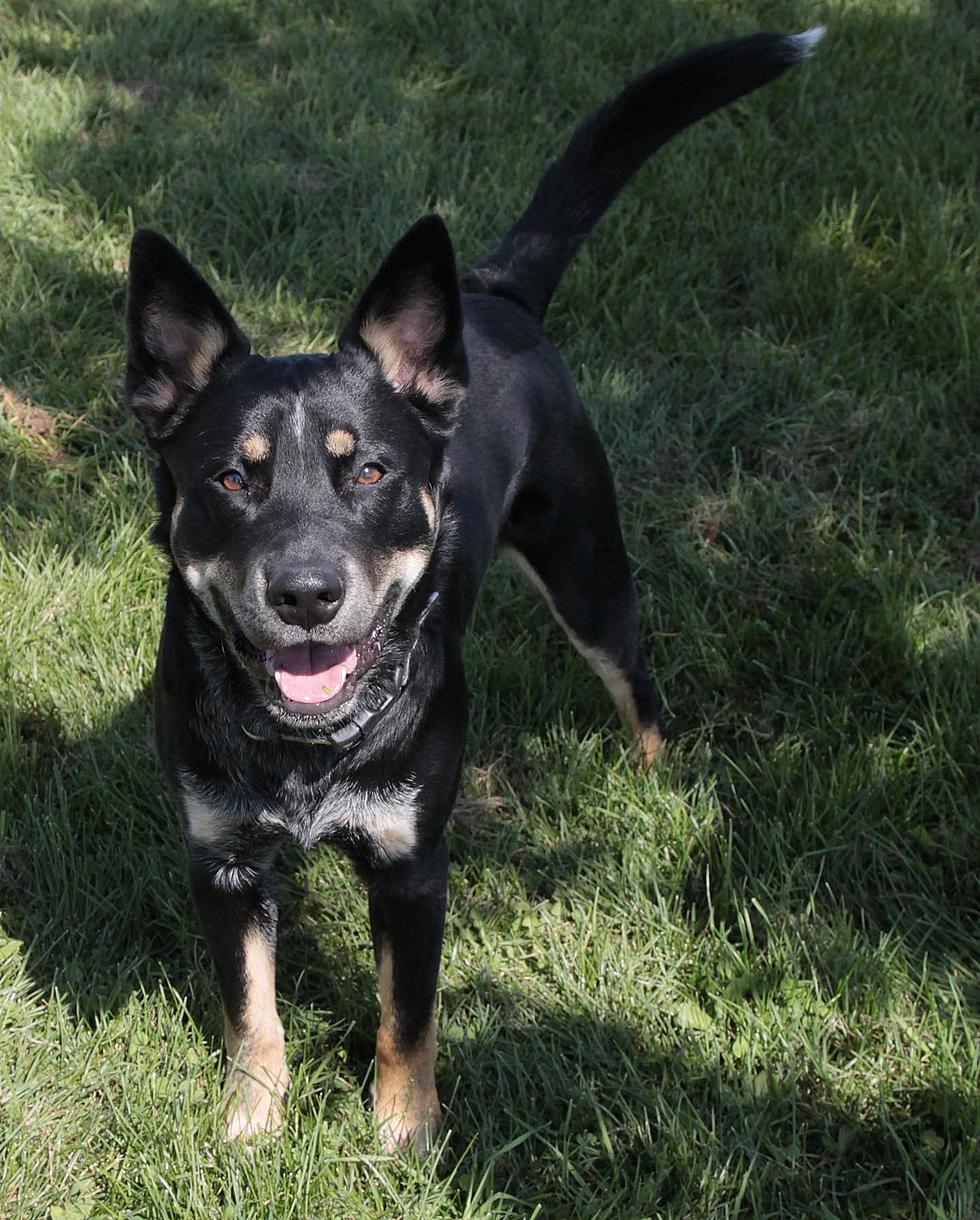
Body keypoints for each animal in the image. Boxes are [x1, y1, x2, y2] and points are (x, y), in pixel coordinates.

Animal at [126, 28, 825, 1151]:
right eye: (231, 479)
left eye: (368, 469)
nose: (306, 593)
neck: (310, 750)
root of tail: (490, 292)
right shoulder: (221, 858)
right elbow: (251, 1006)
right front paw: (251, 1125)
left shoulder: (414, 866)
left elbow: (406, 1016)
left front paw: (405, 1136)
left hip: (588, 566)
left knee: (638, 686)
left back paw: (653, 780)